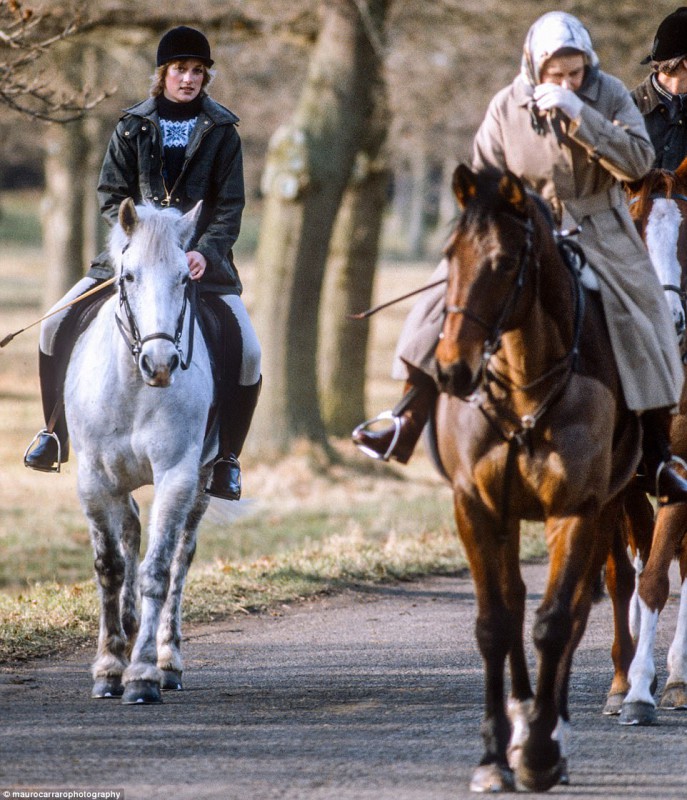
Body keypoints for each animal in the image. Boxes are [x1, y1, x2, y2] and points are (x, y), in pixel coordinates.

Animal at [432, 166, 644, 792]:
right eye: (449, 255)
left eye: (505, 263)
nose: (452, 370)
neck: (527, 389)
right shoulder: (476, 509)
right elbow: (495, 624)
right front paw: (494, 755)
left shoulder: (574, 509)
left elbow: (554, 623)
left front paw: (542, 753)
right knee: (517, 601)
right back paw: (525, 714)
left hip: (609, 508)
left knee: (580, 606)